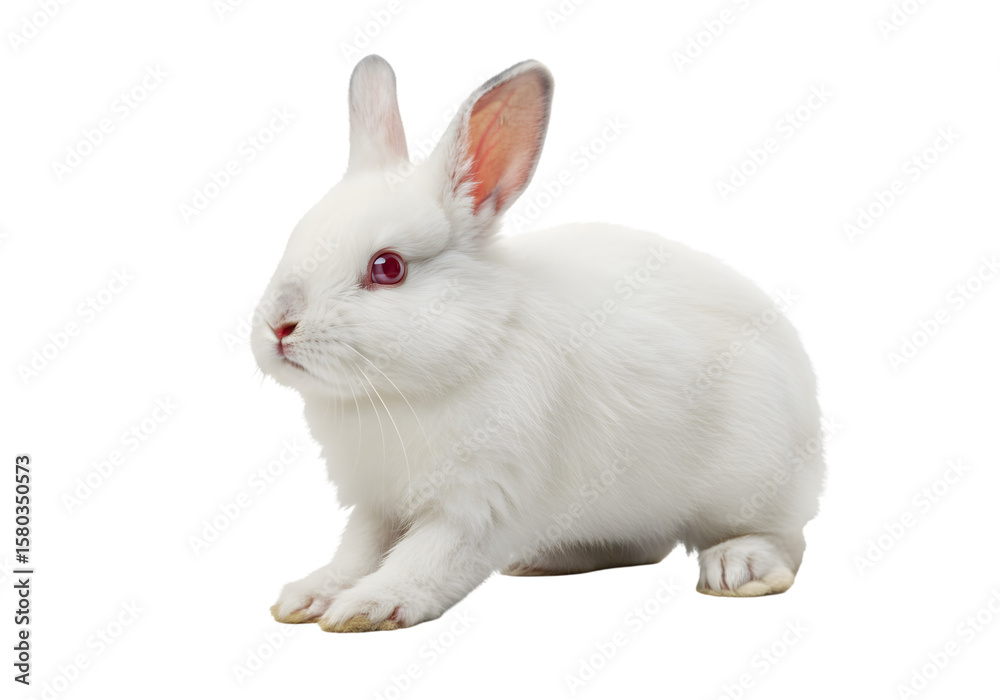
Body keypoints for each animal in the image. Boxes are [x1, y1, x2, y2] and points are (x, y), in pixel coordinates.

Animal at [251, 54, 825, 633]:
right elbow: (357, 553)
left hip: (753, 478)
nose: (279, 326)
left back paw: (739, 568)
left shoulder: (479, 503)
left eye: (387, 268)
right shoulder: (375, 505)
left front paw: (371, 606)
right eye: (295, 238)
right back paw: (545, 560)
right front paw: (307, 598)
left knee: (784, 538)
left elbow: (428, 558)